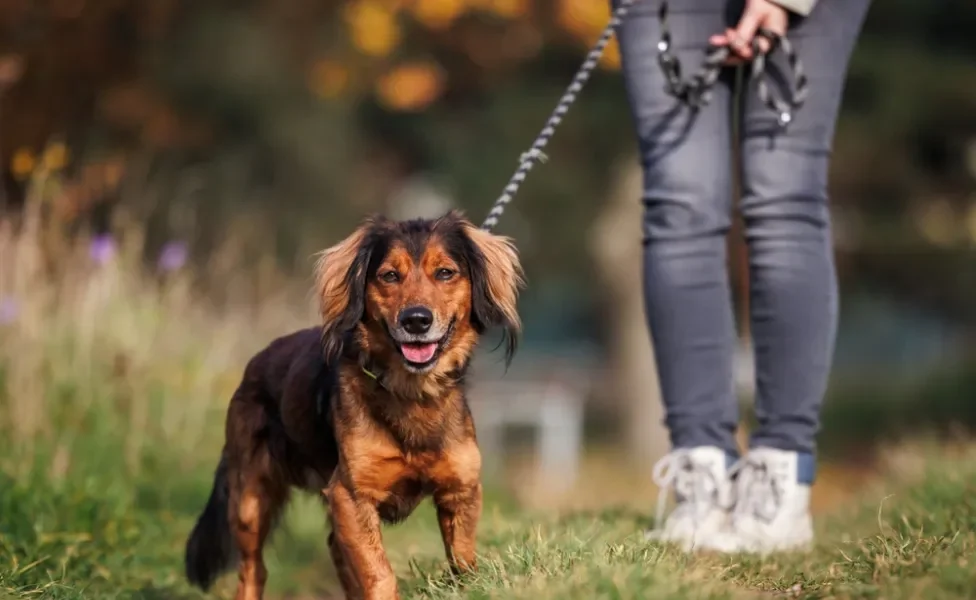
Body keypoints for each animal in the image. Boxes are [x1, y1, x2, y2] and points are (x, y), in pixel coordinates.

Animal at [180, 209, 524, 596]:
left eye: (445, 273)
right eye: (389, 275)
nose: (416, 320)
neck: (410, 391)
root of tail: (255, 362)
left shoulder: (461, 490)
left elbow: (463, 563)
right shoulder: (349, 496)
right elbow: (379, 572)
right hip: (249, 502)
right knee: (253, 569)